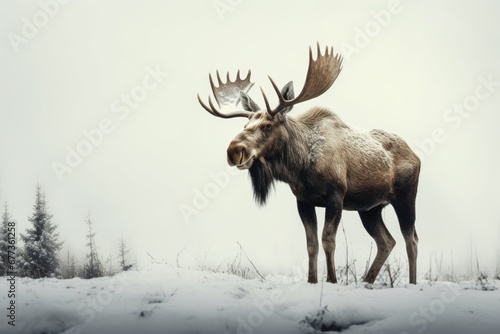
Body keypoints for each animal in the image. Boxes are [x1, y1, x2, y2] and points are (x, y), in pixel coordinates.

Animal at [197, 43, 420, 284]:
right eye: (246, 124)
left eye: (268, 125)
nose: (234, 150)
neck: (300, 166)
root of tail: (416, 155)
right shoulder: (303, 200)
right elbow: (311, 244)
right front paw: (312, 280)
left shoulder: (336, 194)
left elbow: (328, 240)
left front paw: (331, 279)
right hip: (370, 208)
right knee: (387, 241)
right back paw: (366, 281)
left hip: (405, 197)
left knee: (411, 240)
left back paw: (411, 282)